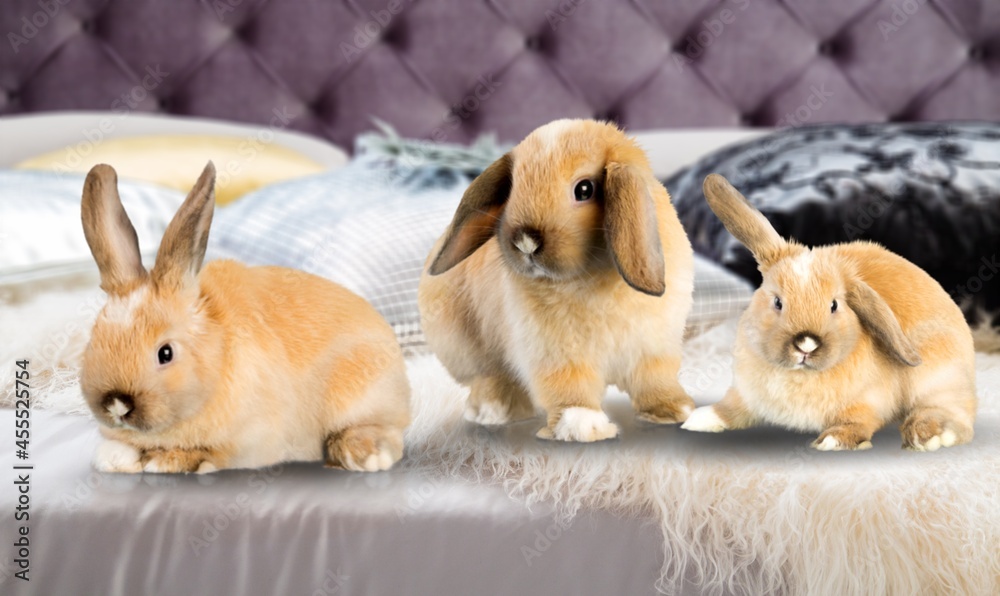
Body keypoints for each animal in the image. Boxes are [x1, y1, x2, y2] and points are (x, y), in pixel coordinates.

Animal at [80, 162, 410, 470]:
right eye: (93, 341)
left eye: (166, 353)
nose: (117, 404)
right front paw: (114, 459)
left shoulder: (251, 440)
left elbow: (211, 454)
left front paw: (167, 462)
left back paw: (362, 455)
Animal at [416, 118, 696, 440]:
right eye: (512, 187)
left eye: (585, 189)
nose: (525, 242)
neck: (592, 274)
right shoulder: (555, 355)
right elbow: (568, 388)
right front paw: (582, 426)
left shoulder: (654, 349)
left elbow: (654, 381)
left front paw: (673, 411)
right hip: (469, 352)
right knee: (489, 379)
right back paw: (495, 411)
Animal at [680, 175, 976, 450]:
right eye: (777, 302)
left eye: (834, 305)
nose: (806, 344)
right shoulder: (745, 394)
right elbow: (731, 408)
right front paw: (700, 419)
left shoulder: (868, 401)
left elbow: (858, 420)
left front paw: (833, 440)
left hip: (936, 377)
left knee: (955, 412)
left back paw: (929, 436)